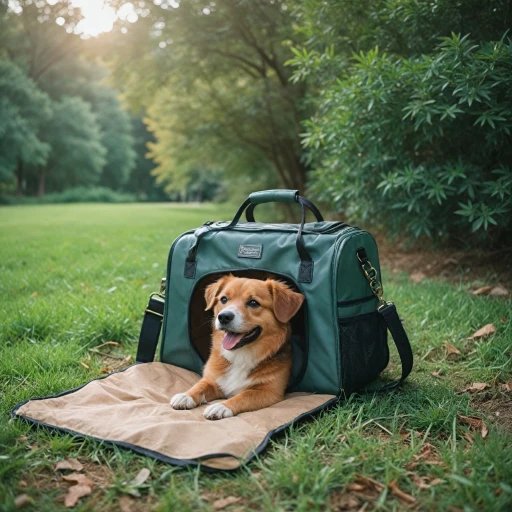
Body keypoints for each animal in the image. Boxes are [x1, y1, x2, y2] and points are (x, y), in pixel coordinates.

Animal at [170, 276, 304, 420]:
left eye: (253, 302)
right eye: (223, 299)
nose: (224, 317)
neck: (241, 356)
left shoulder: (270, 392)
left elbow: (244, 396)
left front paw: (221, 406)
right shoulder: (214, 381)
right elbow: (201, 385)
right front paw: (186, 395)